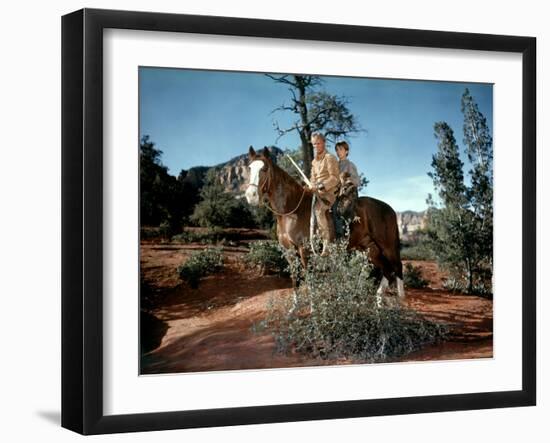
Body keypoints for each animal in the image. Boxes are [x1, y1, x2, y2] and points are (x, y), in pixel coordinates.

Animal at [246, 147, 406, 298]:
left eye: (264, 169)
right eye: (249, 168)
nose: (250, 196)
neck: (291, 211)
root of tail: (390, 209)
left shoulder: (305, 251)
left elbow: (310, 281)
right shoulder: (289, 251)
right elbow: (295, 282)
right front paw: (294, 307)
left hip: (388, 246)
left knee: (398, 268)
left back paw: (400, 300)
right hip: (370, 248)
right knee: (387, 271)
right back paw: (378, 302)